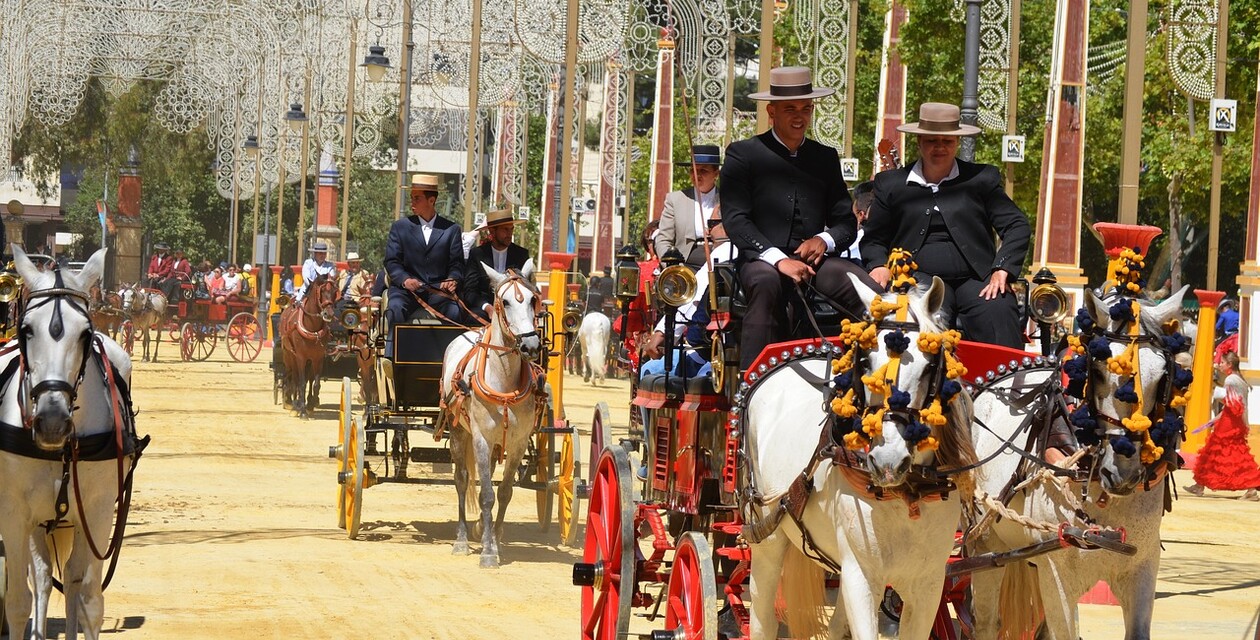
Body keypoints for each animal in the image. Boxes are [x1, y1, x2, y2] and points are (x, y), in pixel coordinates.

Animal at [0, 245, 140, 640]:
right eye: (27, 329)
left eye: (86, 333)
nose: (52, 422)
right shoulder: (14, 512)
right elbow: (18, 601)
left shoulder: (97, 511)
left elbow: (90, 602)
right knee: (43, 579)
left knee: (74, 582)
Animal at [279, 275, 337, 420]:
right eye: (321, 291)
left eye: (335, 292)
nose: (329, 314)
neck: (312, 327)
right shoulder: (300, 357)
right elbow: (301, 383)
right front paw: (302, 411)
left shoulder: (318, 358)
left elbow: (315, 384)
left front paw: (310, 406)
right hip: (289, 356)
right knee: (292, 378)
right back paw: (293, 404)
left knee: (307, 379)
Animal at [438, 260, 541, 569]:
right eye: (504, 302)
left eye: (533, 300)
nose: (531, 346)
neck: (504, 381)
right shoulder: (481, 439)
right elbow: (486, 495)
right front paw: (486, 552)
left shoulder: (518, 443)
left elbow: (504, 493)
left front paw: (494, 542)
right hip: (459, 433)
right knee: (461, 480)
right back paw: (461, 539)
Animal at [740, 275, 977, 640]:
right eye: (865, 361)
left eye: (930, 366)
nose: (888, 460)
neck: (906, 494)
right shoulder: (861, 577)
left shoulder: (928, 585)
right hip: (767, 532)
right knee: (762, 614)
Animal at [967, 285, 1184, 640]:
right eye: (1096, 370)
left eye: (1163, 376)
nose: (1122, 472)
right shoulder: (1057, 579)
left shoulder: (1143, 567)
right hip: (985, 544)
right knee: (984, 623)